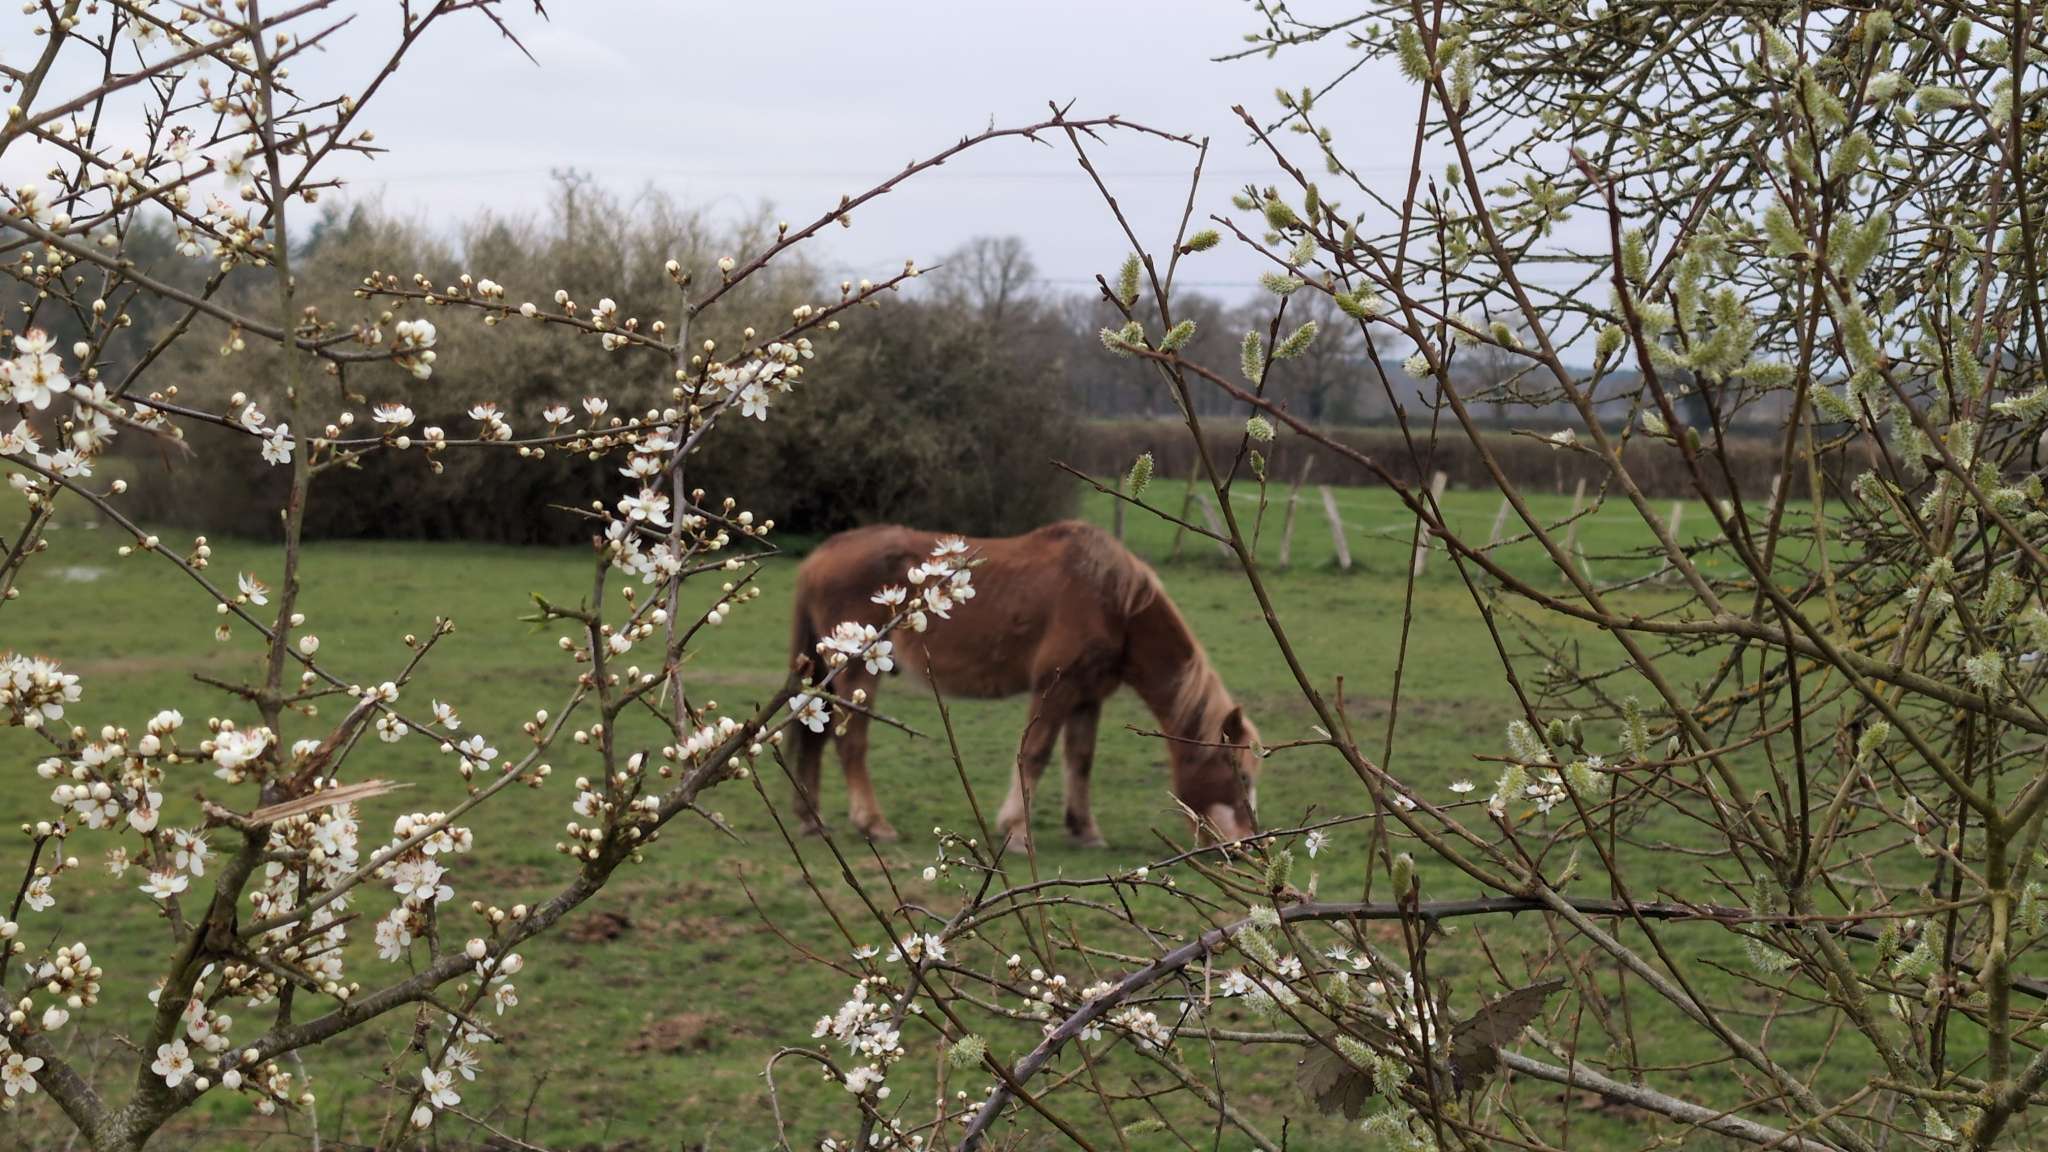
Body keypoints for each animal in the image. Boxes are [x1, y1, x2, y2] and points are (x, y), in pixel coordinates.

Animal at [787, 519, 1260, 848]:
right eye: (1240, 775)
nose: (1245, 845)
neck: (1114, 601)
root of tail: (819, 557)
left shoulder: (1088, 696)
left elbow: (1080, 760)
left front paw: (1084, 829)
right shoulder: (1056, 687)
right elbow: (1035, 754)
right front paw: (1016, 829)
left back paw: (812, 819)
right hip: (855, 673)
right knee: (850, 744)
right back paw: (873, 822)